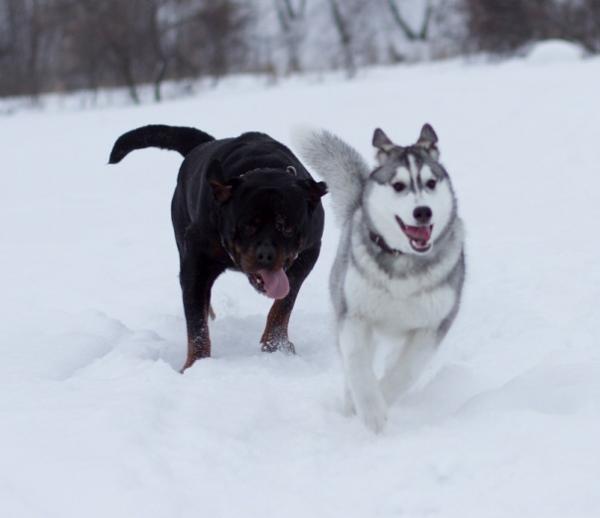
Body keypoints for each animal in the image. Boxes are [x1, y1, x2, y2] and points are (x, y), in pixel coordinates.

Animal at [111, 126, 328, 372]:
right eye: (247, 226)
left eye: (286, 227)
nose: (266, 254)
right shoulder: (196, 261)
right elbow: (196, 323)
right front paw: (196, 365)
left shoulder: (310, 251)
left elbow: (284, 303)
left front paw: (276, 345)